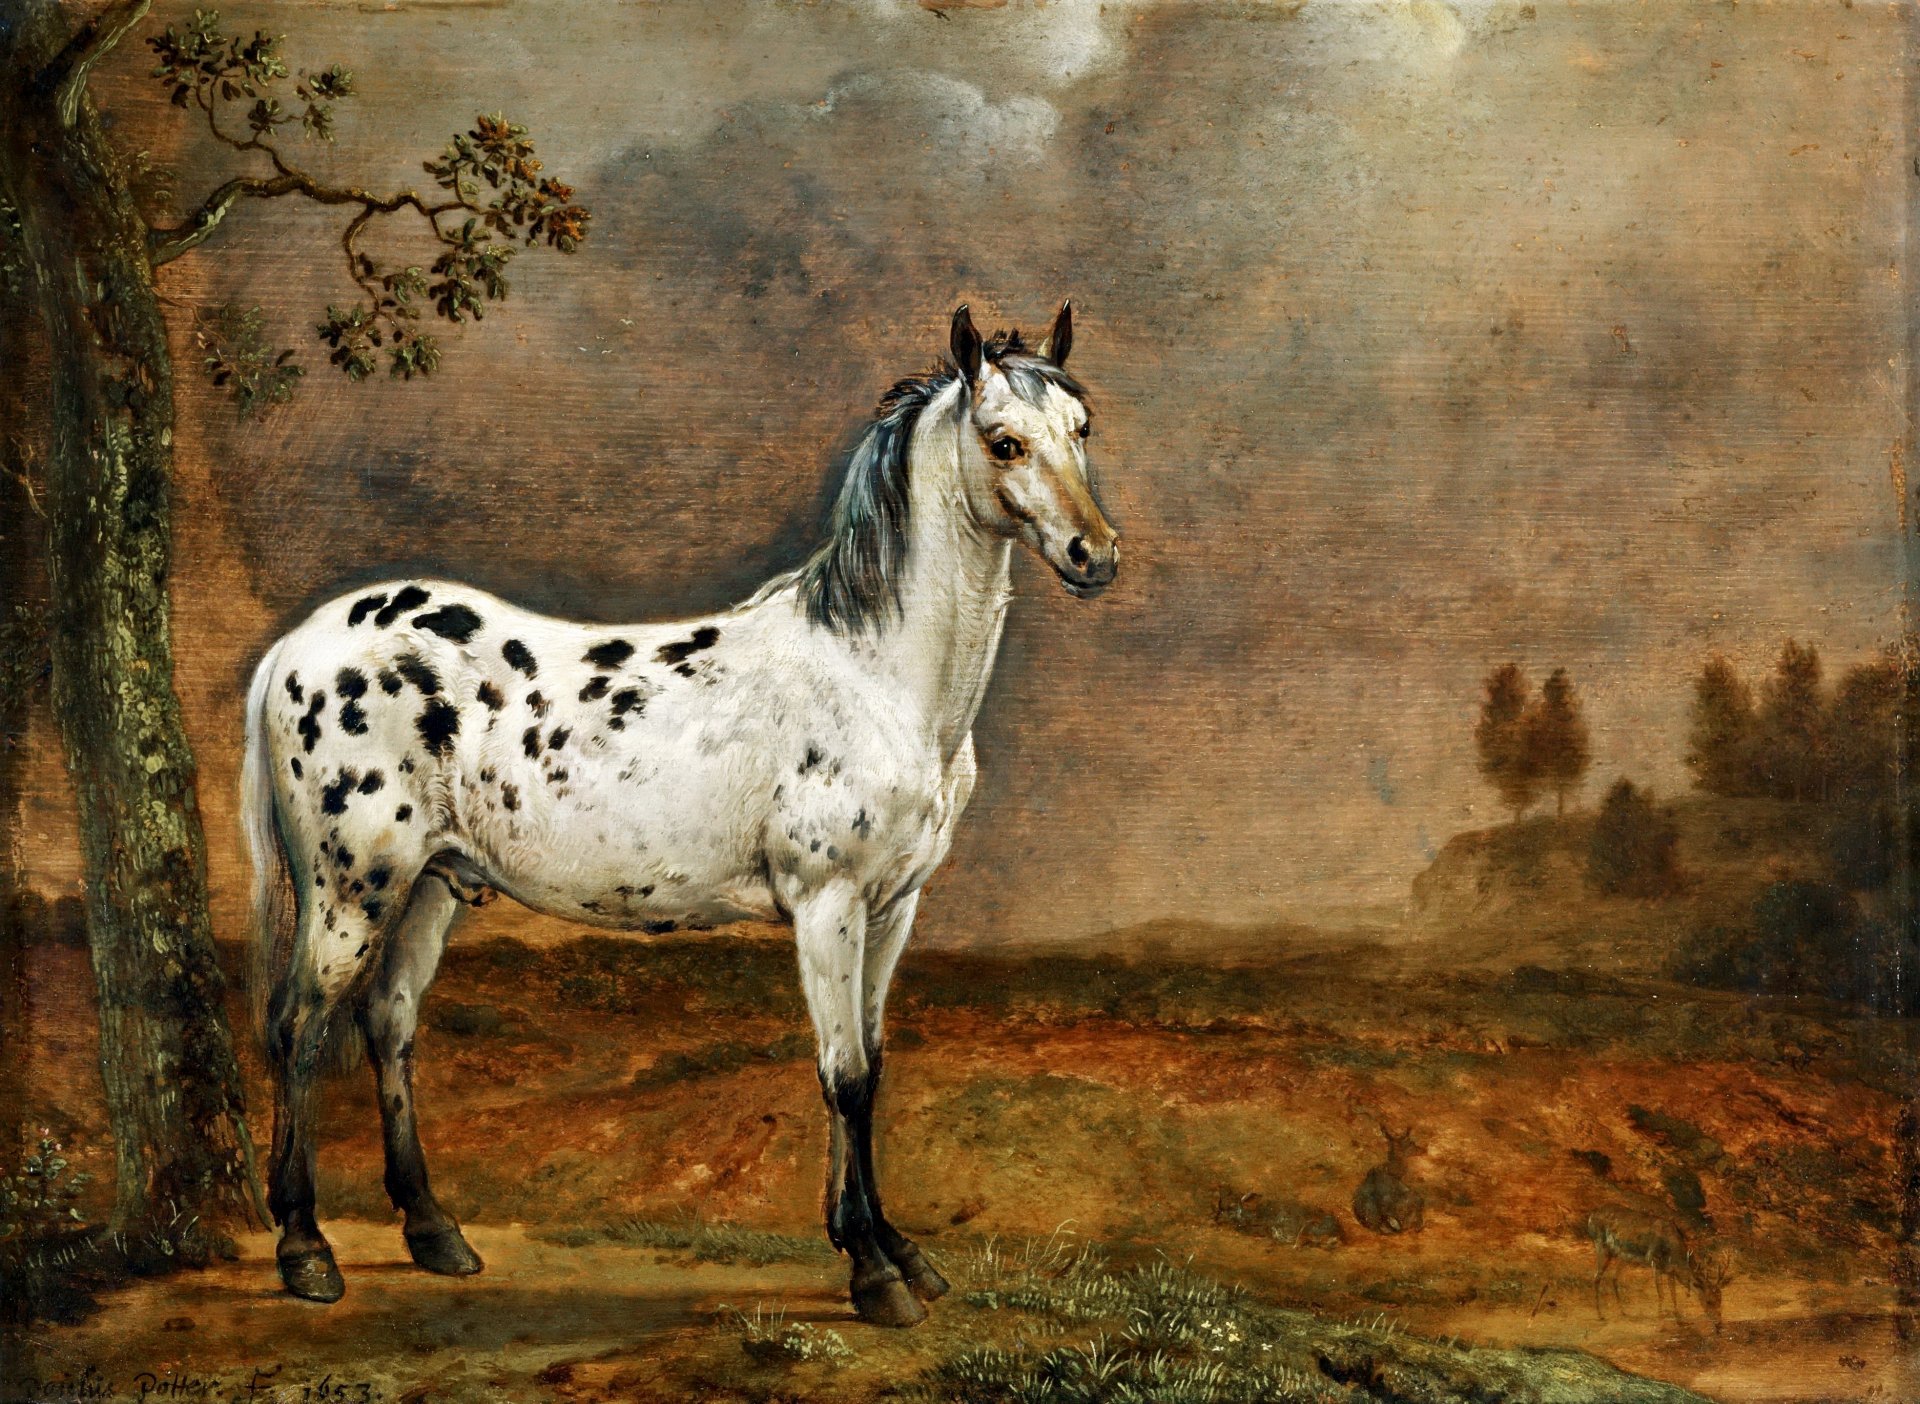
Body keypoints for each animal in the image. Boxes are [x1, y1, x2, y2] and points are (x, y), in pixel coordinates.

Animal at [240, 301, 1118, 1327]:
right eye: (1004, 440)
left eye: (1083, 429)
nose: (1096, 555)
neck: (875, 675)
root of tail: (296, 646)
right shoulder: (826, 906)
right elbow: (843, 1075)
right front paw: (873, 1273)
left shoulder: (895, 908)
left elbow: (871, 1066)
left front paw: (893, 1248)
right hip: (352, 890)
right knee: (298, 1027)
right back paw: (304, 1249)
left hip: (432, 885)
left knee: (390, 1024)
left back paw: (434, 1232)